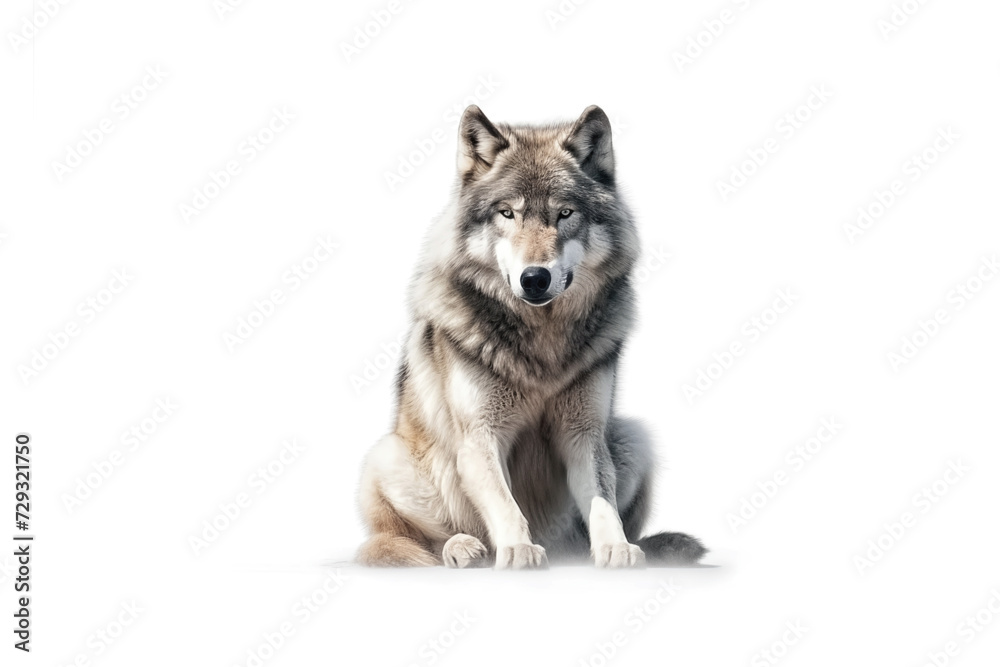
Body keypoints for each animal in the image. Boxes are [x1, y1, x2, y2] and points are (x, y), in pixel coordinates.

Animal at [356, 106, 706, 569]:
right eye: (508, 214)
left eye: (565, 214)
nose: (534, 278)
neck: (543, 341)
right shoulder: (480, 437)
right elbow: (506, 503)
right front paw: (519, 549)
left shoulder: (584, 433)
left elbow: (602, 502)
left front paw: (615, 547)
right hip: (389, 457)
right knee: (413, 540)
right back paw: (461, 548)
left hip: (632, 436)